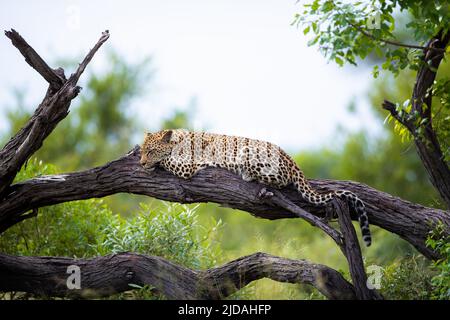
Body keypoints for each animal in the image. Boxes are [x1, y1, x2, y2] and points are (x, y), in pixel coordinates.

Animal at [141, 129, 372, 246]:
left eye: (150, 151)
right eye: (143, 150)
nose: (142, 163)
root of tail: (292, 159)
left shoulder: (187, 166)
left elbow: (167, 160)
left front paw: (156, 163)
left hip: (249, 152)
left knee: (278, 180)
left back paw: (248, 175)